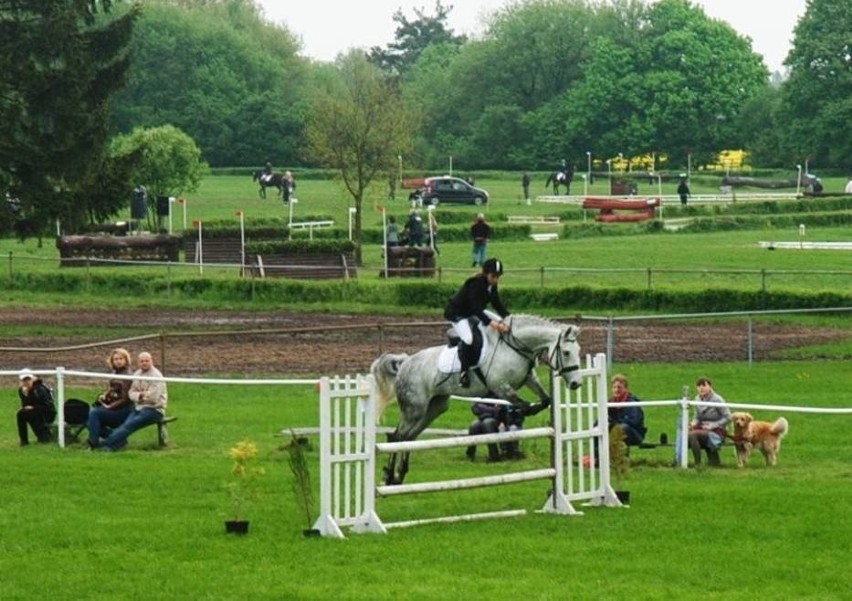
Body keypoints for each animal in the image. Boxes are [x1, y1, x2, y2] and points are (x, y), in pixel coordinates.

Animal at [370, 312, 584, 486]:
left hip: (434, 407)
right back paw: (389, 476)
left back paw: (399, 475)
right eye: (566, 352)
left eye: (579, 352)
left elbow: (545, 400)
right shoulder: (500, 386)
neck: (514, 347)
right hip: (415, 408)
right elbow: (522, 404)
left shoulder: (529, 379)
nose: (575, 384)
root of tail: (405, 362)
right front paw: (518, 412)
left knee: (409, 437)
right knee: (398, 436)